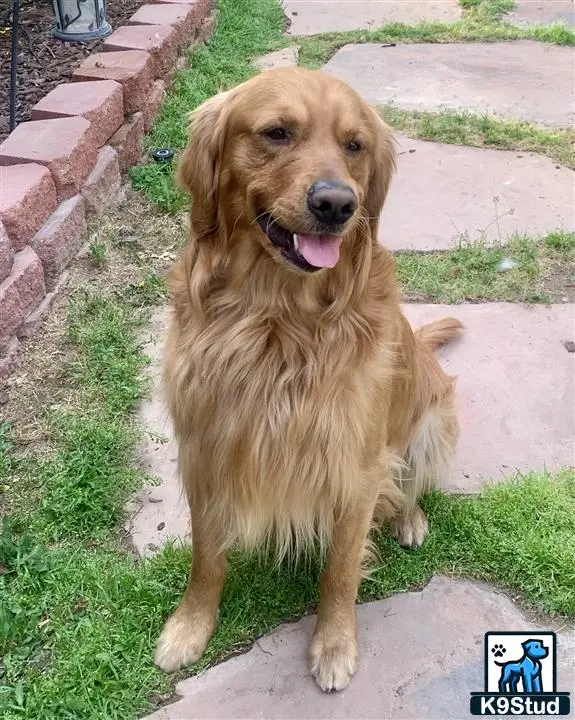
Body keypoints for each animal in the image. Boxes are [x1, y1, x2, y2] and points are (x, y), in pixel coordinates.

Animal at [154, 67, 464, 692]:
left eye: (355, 145)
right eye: (277, 133)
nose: (337, 204)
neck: (276, 319)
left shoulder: (356, 463)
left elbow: (341, 568)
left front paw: (335, 644)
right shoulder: (206, 445)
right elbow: (206, 555)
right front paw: (189, 627)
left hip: (432, 420)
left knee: (410, 484)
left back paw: (410, 519)